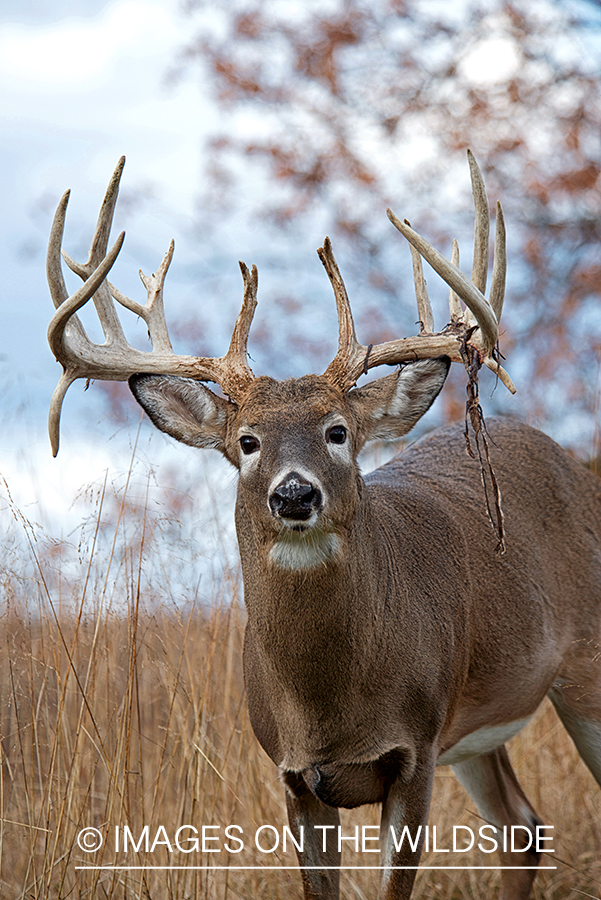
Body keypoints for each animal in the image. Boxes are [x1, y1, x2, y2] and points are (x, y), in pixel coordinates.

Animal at [47, 155, 600, 900]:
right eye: (247, 442)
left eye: (337, 431)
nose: (294, 494)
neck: (328, 704)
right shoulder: (293, 774)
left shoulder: (414, 750)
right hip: (477, 728)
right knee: (521, 826)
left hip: (580, 670)